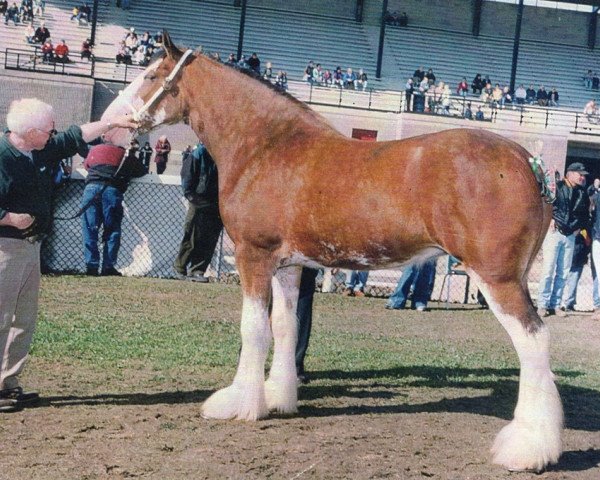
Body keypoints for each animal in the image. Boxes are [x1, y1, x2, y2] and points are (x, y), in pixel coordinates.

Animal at [102, 33, 564, 472]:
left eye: (151, 75)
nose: (109, 122)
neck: (267, 146)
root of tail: (530, 163)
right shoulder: (287, 267)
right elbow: (285, 327)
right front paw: (279, 397)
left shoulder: (254, 256)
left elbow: (254, 330)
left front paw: (239, 404)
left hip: (496, 278)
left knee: (534, 343)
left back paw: (526, 449)